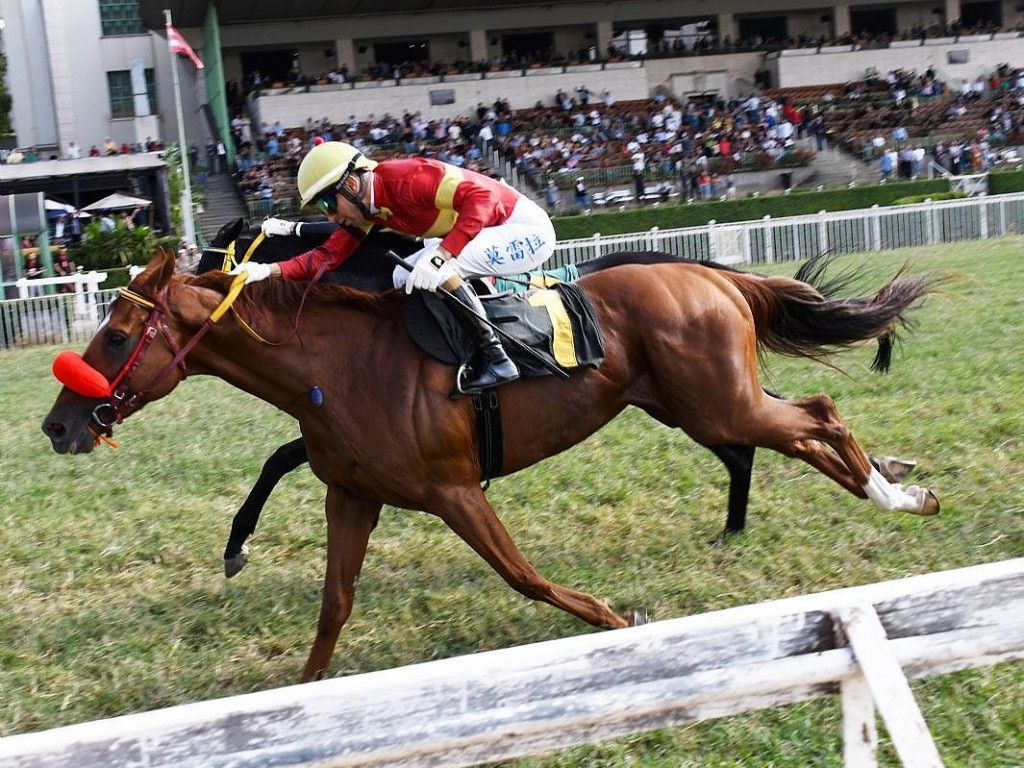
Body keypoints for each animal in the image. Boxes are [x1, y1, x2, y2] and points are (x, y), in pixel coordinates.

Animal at [41, 249, 937, 684]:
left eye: (115, 337)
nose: (56, 426)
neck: (335, 364)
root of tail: (713, 276)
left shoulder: (452, 488)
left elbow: (523, 576)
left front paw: (618, 622)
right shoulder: (353, 496)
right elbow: (333, 605)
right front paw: (298, 693)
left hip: (717, 401)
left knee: (816, 415)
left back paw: (900, 495)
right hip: (693, 400)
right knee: (788, 434)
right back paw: (865, 488)